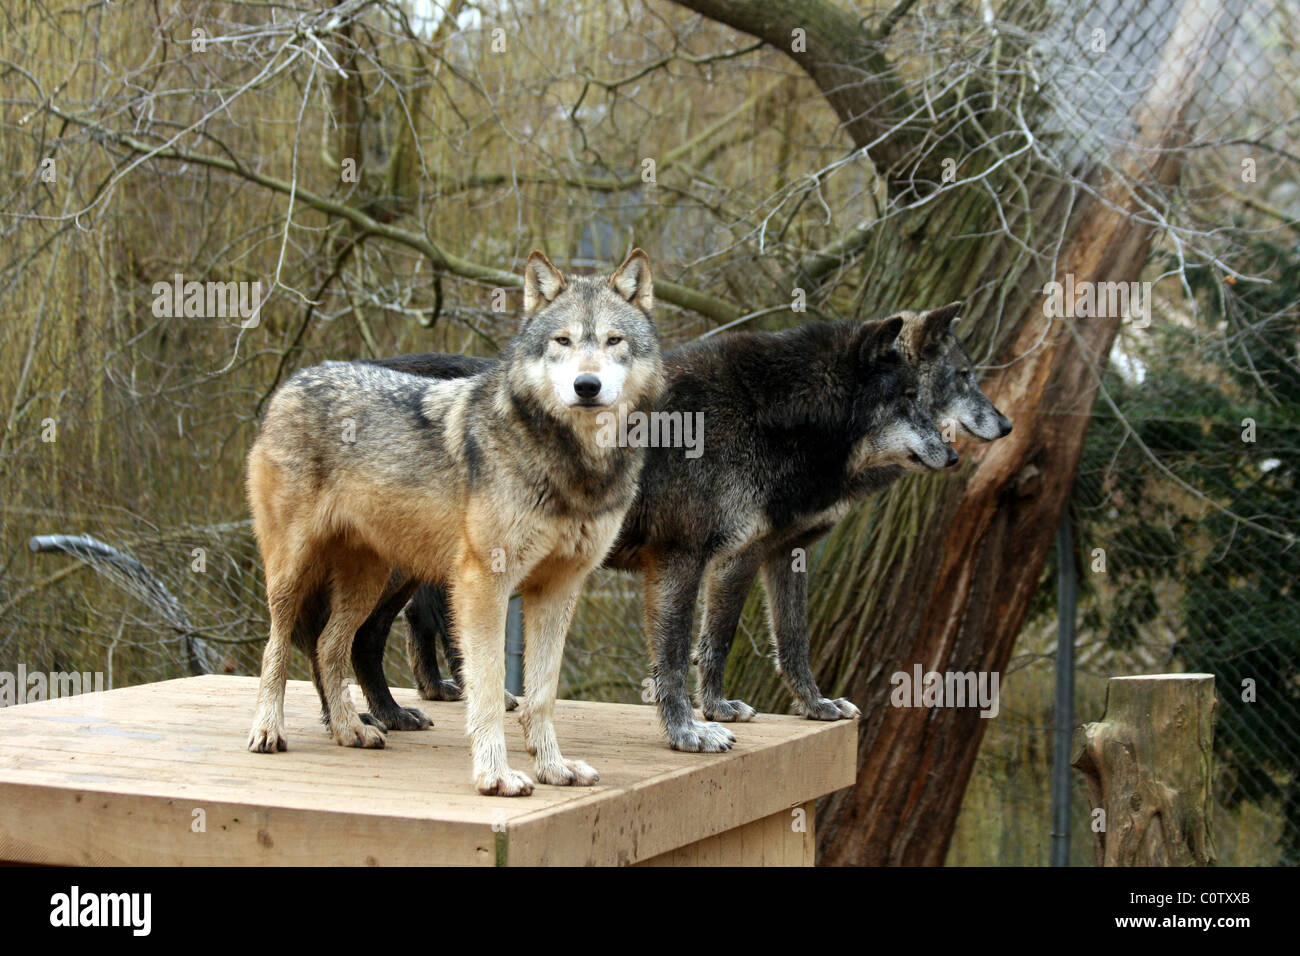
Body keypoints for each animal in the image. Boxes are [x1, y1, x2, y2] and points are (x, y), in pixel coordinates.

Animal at [245, 248, 660, 801]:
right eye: (563, 341)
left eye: (614, 341)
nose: (586, 386)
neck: (573, 465)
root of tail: (293, 381)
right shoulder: (482, 585)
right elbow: (485, 690)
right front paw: (496, 775)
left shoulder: (559, 589)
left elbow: (541, 695)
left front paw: (553, 768)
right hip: (294, 573)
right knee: (278, 646)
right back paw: (269, 730)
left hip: (371, 578)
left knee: (330, 646)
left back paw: (351, 730)